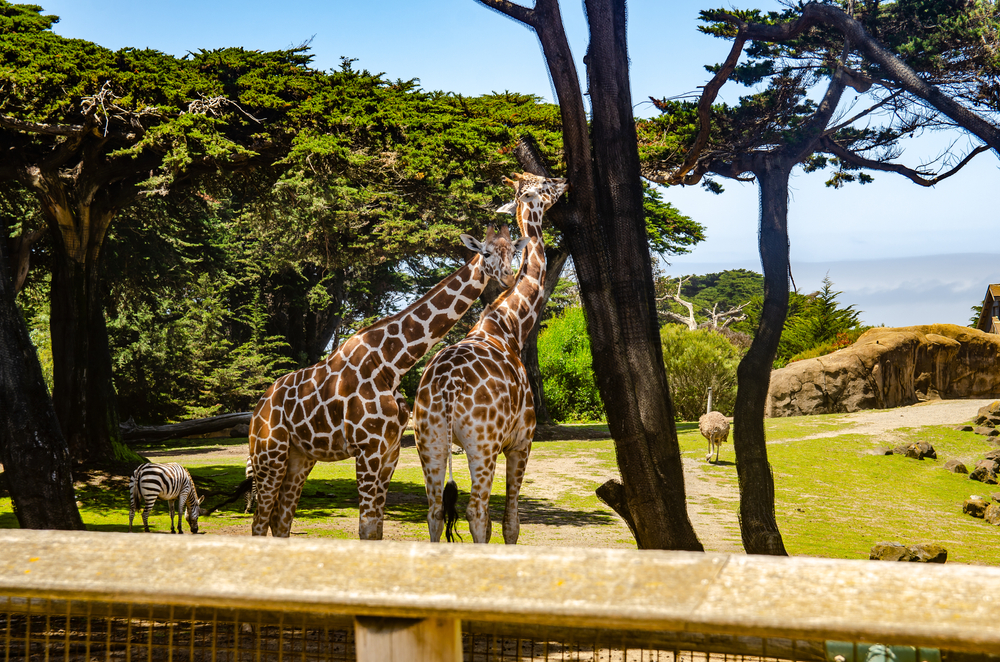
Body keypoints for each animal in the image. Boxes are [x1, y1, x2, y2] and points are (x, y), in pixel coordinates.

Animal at [249, 225, 527, 539]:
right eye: (486, 252)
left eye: (513, 252)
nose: (508, 278)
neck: (391, 363)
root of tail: (258, 408)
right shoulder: (367, 450)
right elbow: (366, 527)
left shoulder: (389, 452)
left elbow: (377, 528)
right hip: (268, 454)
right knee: (259, 521)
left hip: (299, 457)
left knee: (280, 520)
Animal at [414, 173, 568, 544]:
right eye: (544, 186)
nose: (564, 181)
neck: (510, 325)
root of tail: (446, 391)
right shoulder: (521, 440)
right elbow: (511, 523)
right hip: (481, 444)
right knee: (476, 512)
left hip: (429, 440)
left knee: (435, 512)